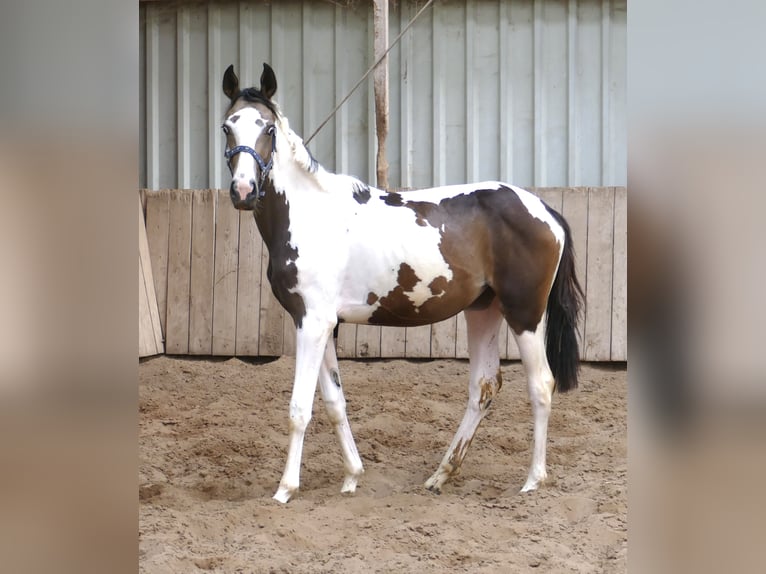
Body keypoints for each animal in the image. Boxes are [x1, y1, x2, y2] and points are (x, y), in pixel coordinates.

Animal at [220, 63, 584, 504]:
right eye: (227, 126)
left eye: (268, 128)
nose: (243, 190)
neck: (310, 214)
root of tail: (545, 210)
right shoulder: (321, 324)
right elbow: (334, 402)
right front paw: (352, 476)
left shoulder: (313, 323)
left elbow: (299, 409)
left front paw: (285, 489)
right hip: (484, 311)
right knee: (483, 387)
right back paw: (441, 475)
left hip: (525, 314)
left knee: (541, 385)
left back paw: (532, 479)